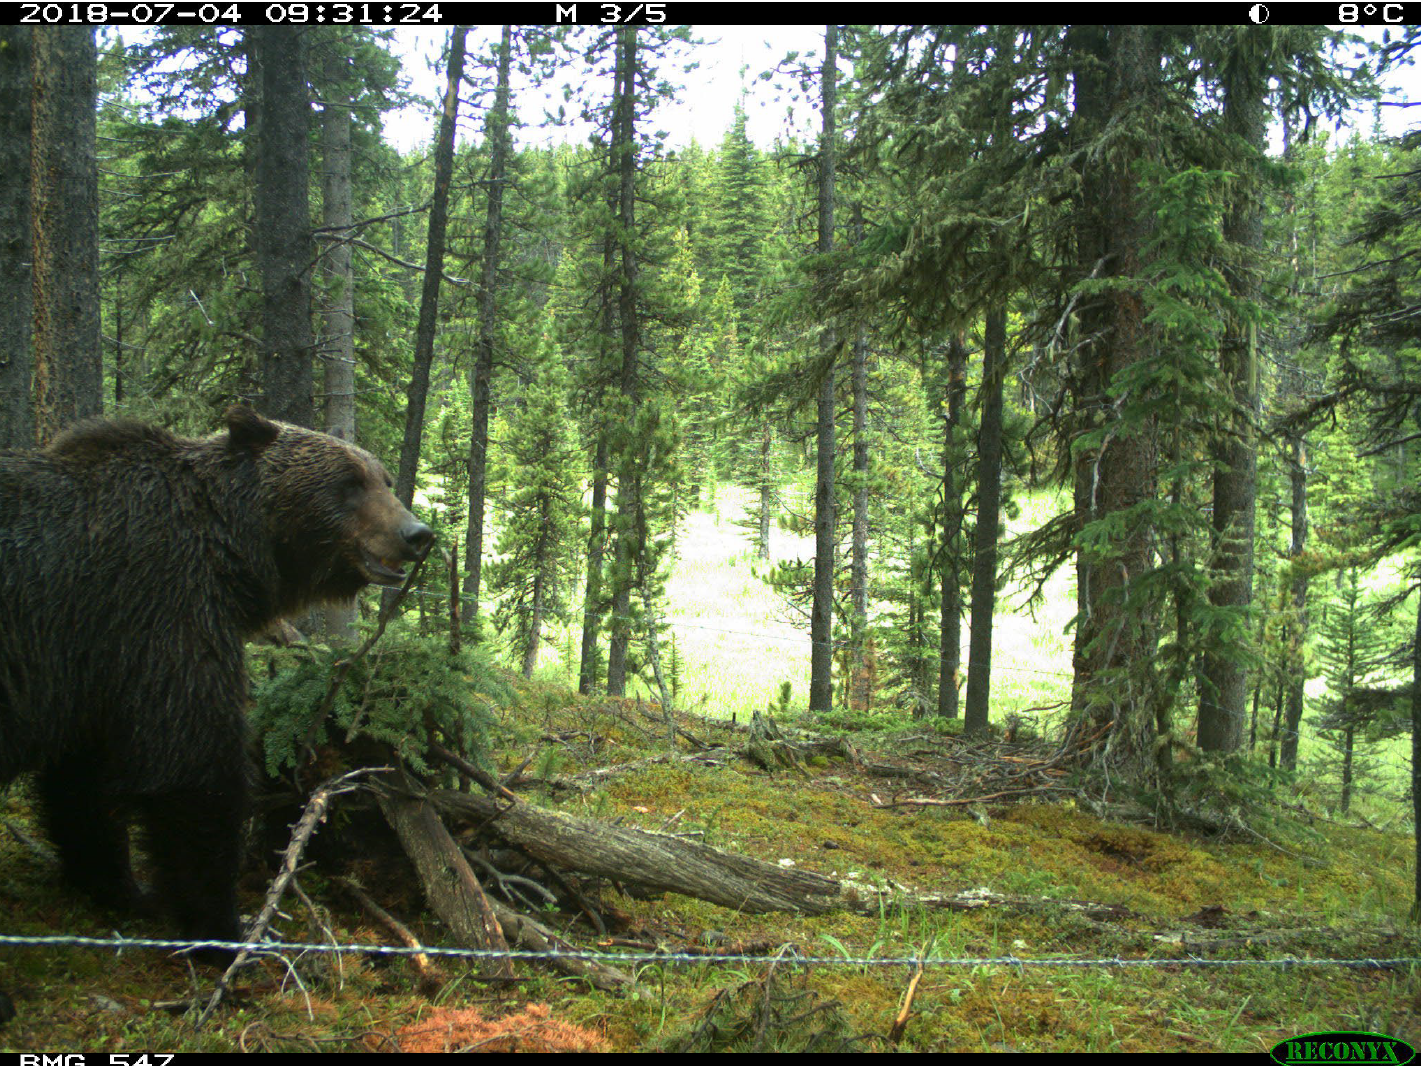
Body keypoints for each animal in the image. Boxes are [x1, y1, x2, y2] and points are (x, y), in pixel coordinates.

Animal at [0, 405, 432, 985]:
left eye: (383, 478)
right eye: (348, 483)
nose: (417, 533)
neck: (233, 550)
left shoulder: (98, 665)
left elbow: (82, 781)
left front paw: (121, 887)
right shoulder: (164, 608)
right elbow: (192, 766)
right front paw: (225, 930)